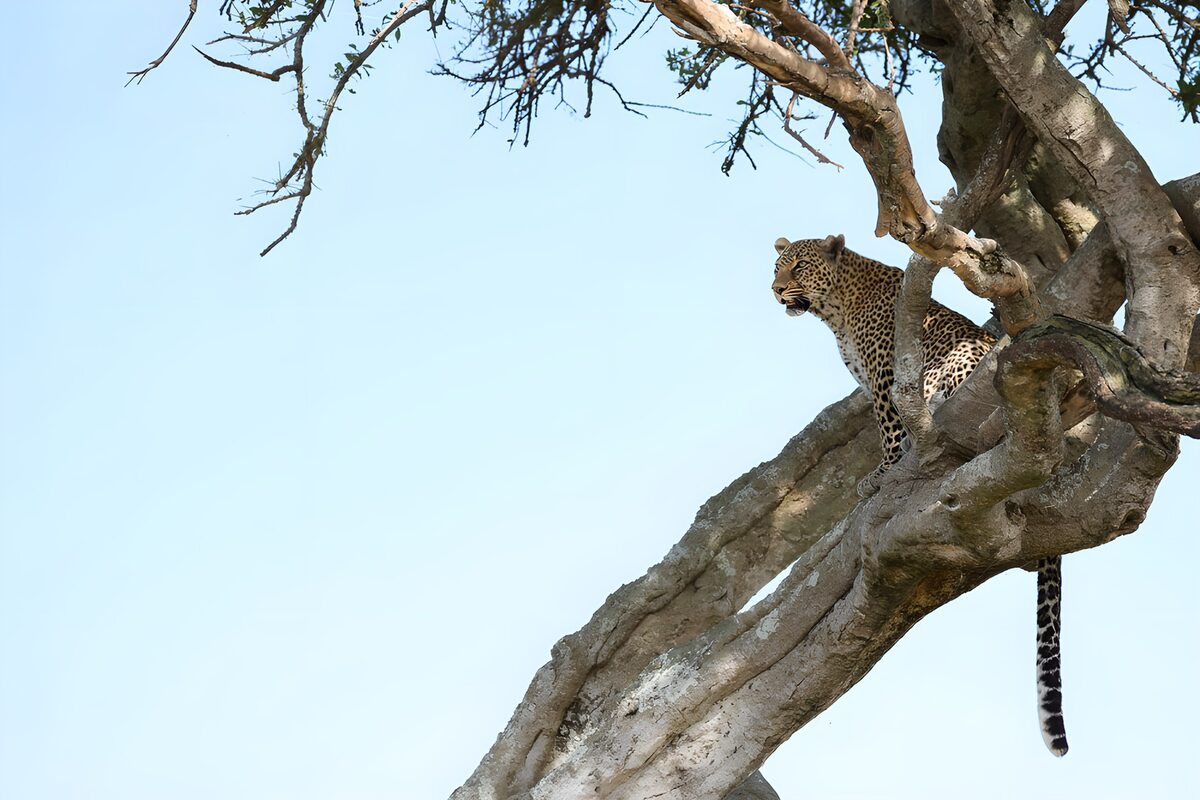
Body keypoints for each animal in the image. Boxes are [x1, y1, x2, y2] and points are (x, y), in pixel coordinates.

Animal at [771, 233, 1069, 757]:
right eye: (777, 267)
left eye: (800, 267)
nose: (774, 289)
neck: (837, 308)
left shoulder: (885, 376)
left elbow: (889, 428)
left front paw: (883, 473)